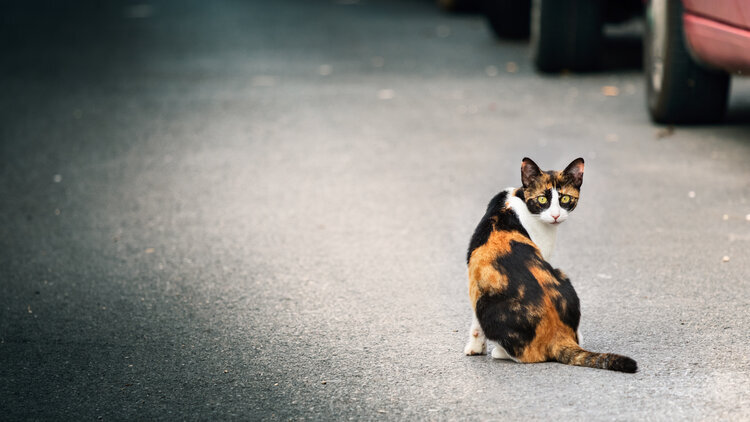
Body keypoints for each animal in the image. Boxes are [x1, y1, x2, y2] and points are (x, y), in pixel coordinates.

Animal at [468, 157, 636, 372]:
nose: (555, 215)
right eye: (542, 200)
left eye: (564, 199)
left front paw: (474, 347)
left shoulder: (476, 281)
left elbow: (475, 323)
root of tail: (557, 334)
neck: (516, 200)